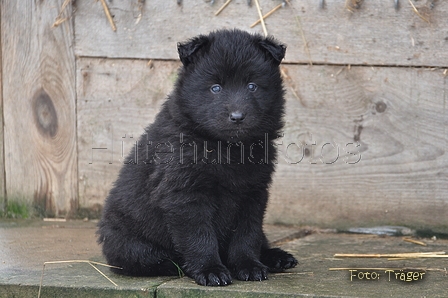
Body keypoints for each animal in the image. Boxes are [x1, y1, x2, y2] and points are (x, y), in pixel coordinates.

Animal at [100, 28, 300, 286]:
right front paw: (210, 270)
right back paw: (173, 264)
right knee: (140, 258)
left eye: (252, 86)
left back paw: (277, 257)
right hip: (127, 240)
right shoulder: (185, 195)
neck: (227, 148)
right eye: (215, 88)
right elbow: (200, 237)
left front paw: (248, 265)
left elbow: (247, 235)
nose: (237, 116)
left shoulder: (253, 192)